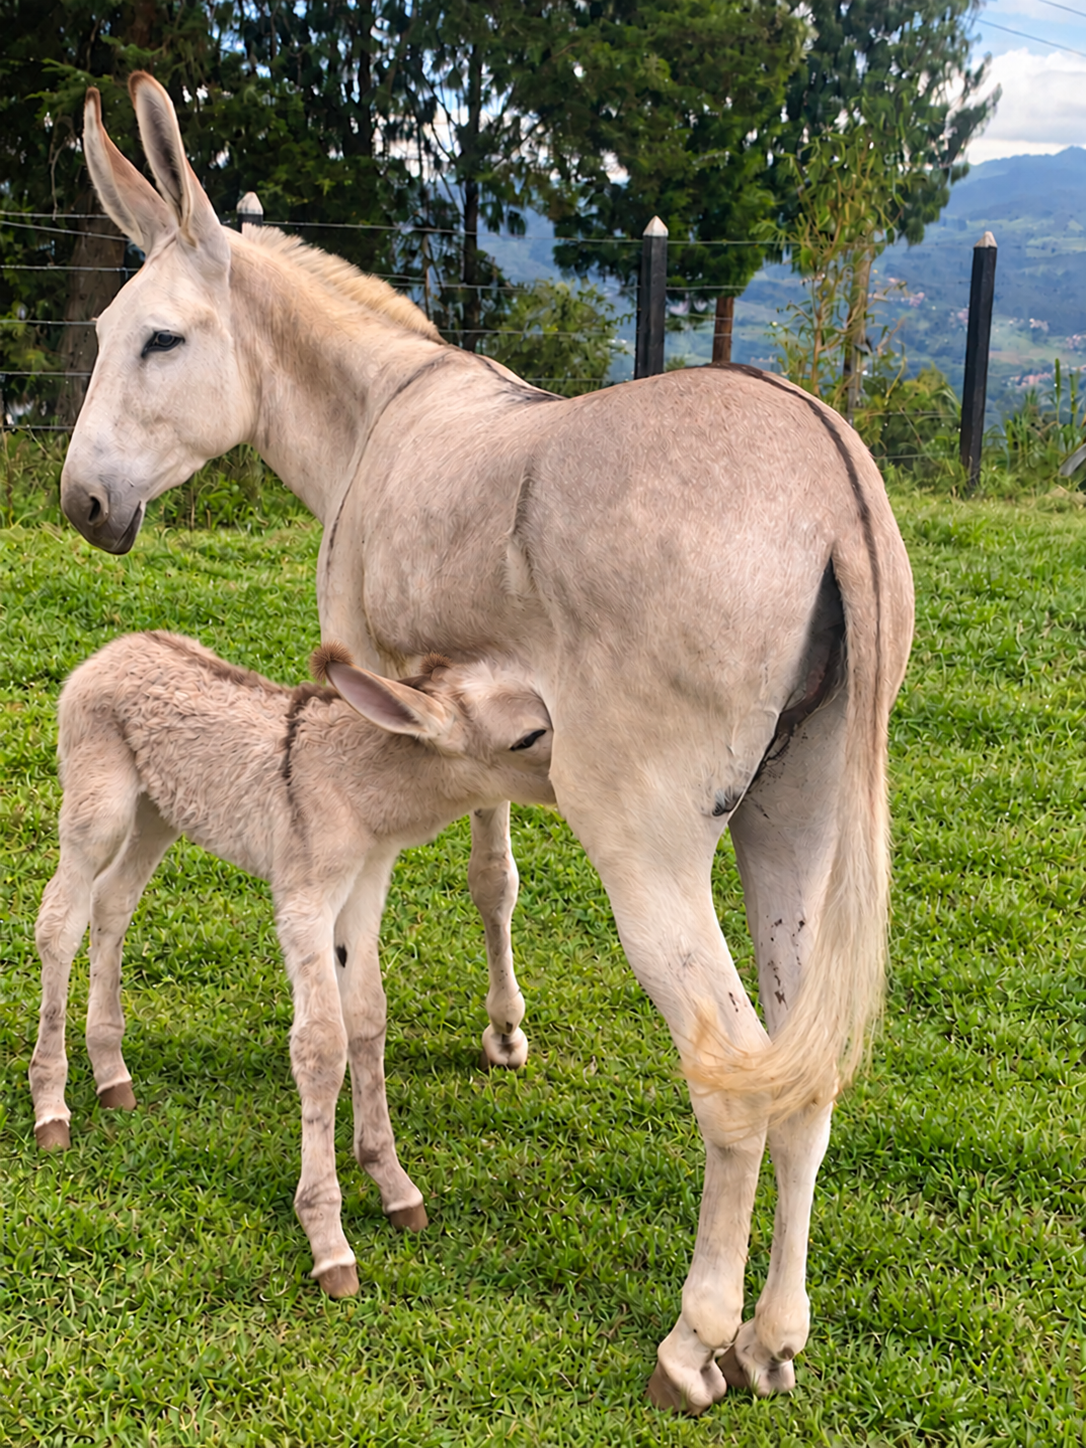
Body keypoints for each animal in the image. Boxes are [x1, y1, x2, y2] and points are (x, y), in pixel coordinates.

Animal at [56, 72, 913, 1412]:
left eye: (160, 341)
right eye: (101, 337)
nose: (80, 505)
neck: (379, 415)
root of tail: (837, 486)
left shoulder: (371, 679)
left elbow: (385, 935)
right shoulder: (474, 711)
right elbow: (494, 869)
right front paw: (506, 1030)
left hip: (645, 838)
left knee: (728, 1064)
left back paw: (696, 1339)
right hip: (799, 820)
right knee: (803, 1060)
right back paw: (776, 1334)